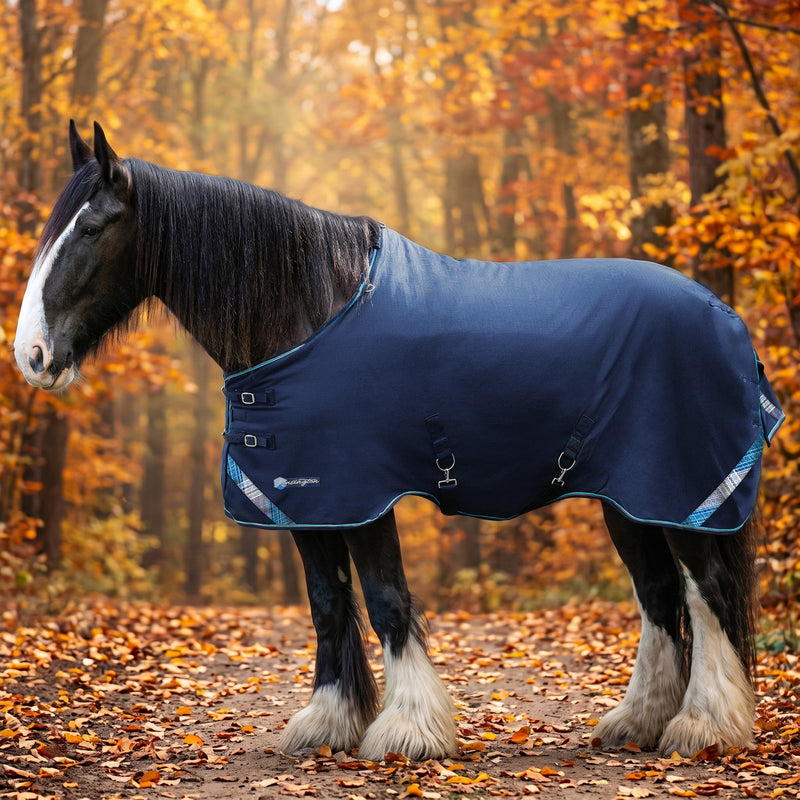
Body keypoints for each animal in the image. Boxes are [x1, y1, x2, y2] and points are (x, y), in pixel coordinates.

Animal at [14, 122, 783, 761]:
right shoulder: (309, 499)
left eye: (91, 228)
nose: (31, 356)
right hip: (629, 498)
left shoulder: (364, 494)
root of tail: (724, 317)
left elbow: (386, 599)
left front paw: (408, 731)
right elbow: (327, 602)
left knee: (706, 590)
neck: (311, 309)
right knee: (659, 593)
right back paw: (640, 722)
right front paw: (328, 723)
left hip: (681, 491)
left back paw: (704, 727)